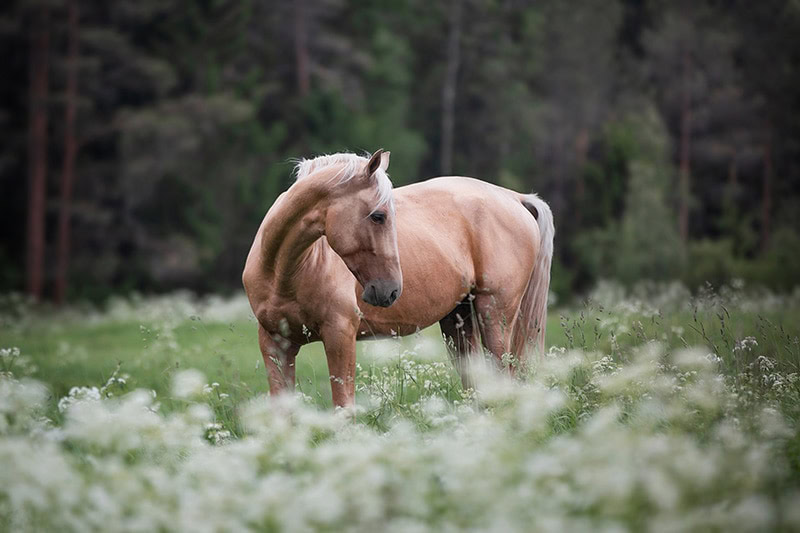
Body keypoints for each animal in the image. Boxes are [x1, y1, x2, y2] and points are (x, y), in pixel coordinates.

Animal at [242, 149, 554, 407]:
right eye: (378, 216)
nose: (391, 290)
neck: (284, 272)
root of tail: (514, 197)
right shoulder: (275, 344)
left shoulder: (339, 336)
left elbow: (344, 409)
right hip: (458, 319)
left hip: (494, 314)